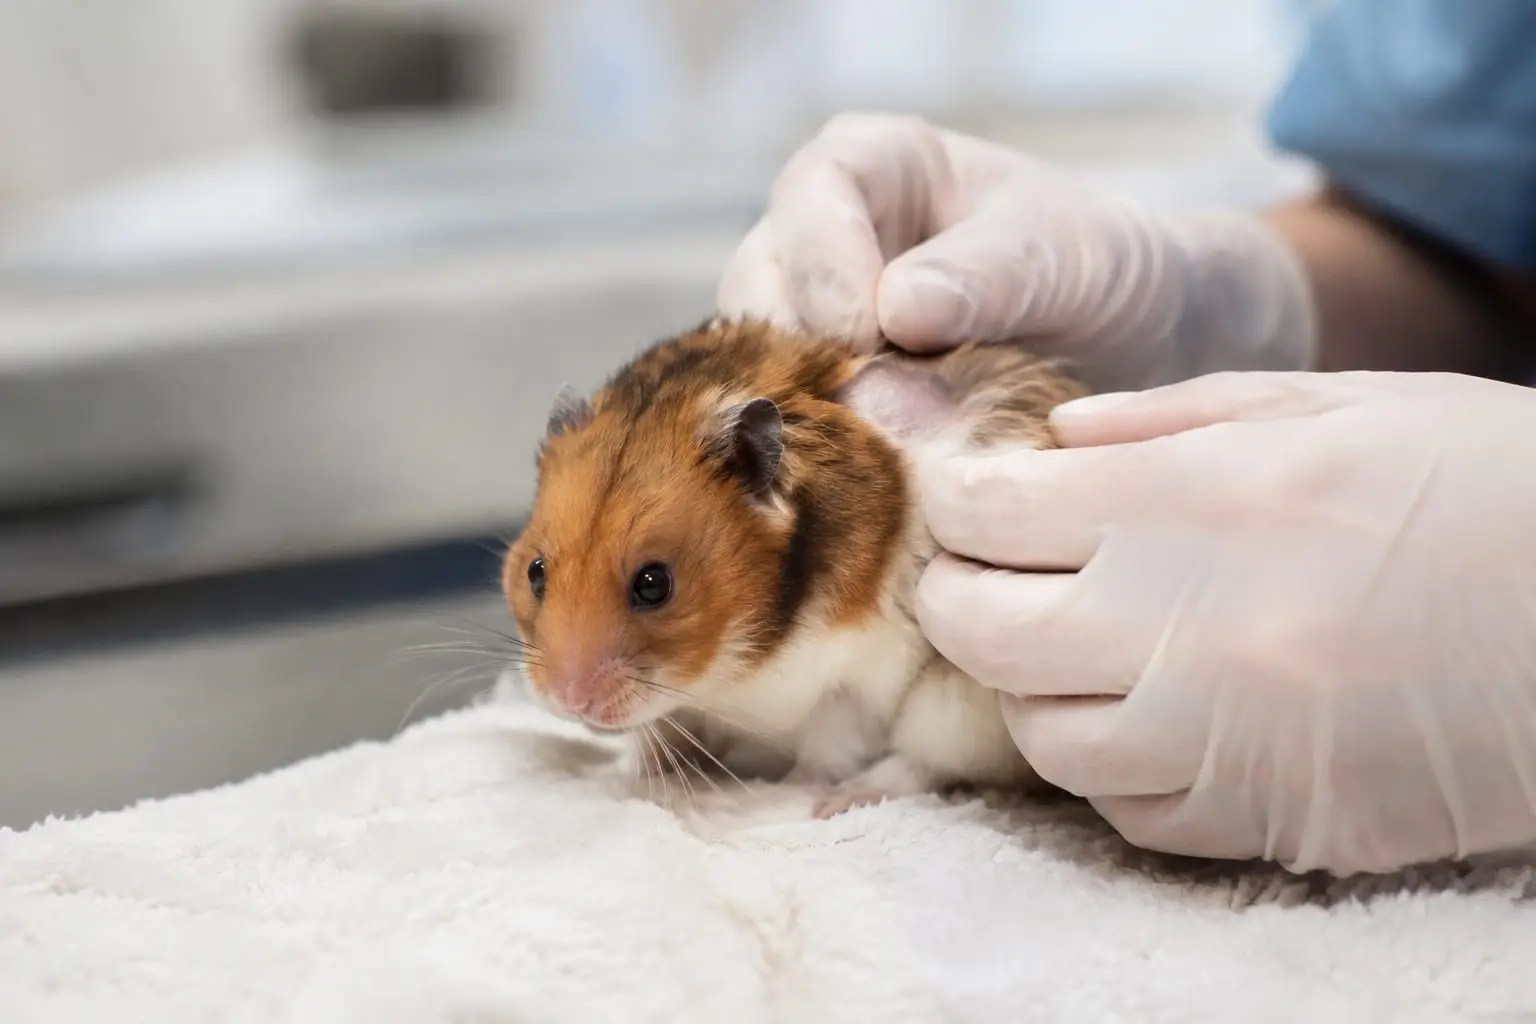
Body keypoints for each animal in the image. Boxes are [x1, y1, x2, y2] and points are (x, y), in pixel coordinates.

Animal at [501, 319, 1089, 817]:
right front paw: (636, 772)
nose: (569, 701)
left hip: (961, 707)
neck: (731, 669)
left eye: (653, 584)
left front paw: (759, 800)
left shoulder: (854, 684)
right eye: (535, 572)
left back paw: (838, 801)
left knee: (920, 763)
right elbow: (660, 734)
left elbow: (825, 754)